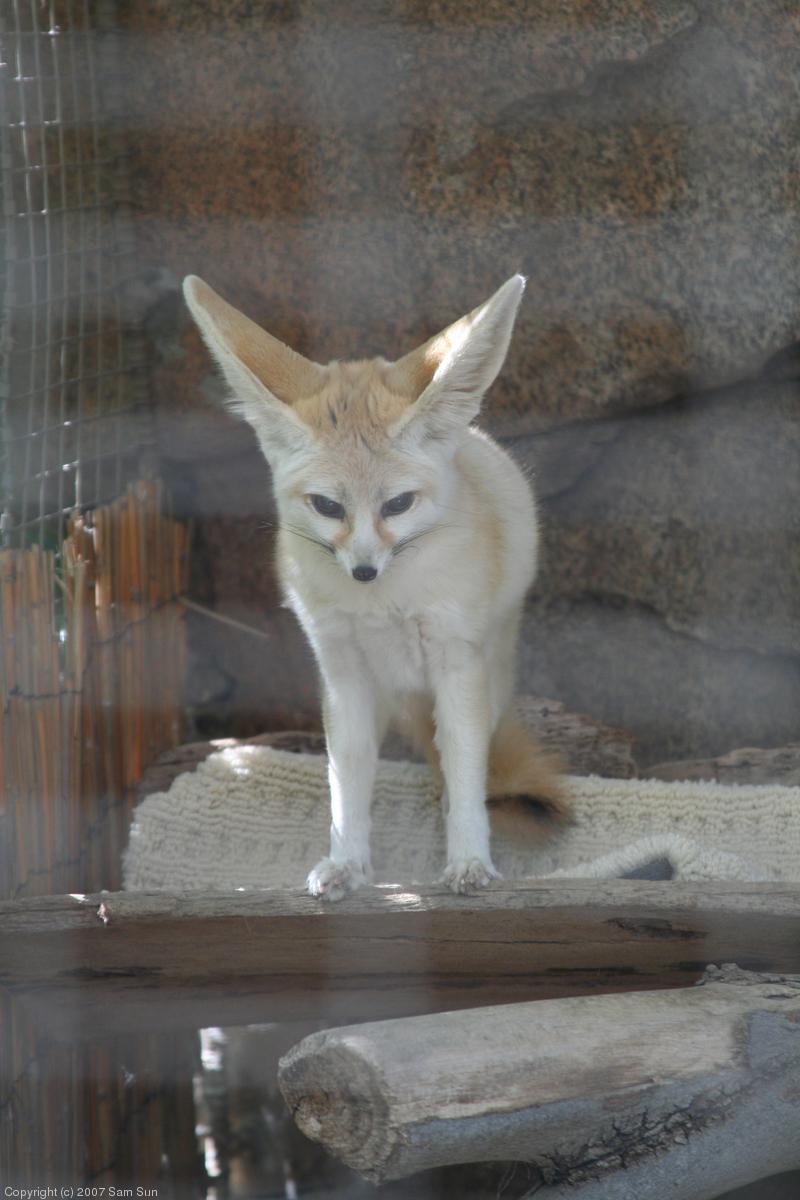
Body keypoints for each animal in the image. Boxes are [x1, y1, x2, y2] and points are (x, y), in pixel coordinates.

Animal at [183, 273, 570, 899]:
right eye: (327, 506)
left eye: (398, 504)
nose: (363, 569)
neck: (383, 605)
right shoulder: (343, 674)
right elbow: (347, 781)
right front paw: (347, 862)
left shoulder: (457, 662)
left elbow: (465, 771)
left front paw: (468, 858)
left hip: (486, 669)